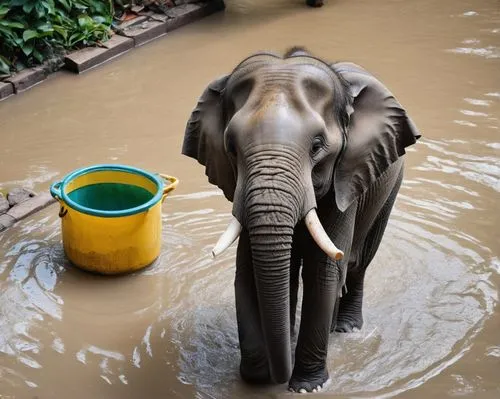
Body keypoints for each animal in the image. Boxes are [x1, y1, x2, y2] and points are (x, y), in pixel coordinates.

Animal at [181, 47, 422, 394]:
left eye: (317, 146)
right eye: (231, 148)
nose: (278, 378)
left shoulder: (344, 177)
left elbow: (323, 271)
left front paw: (307, 387)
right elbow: (249, 272)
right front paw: (256, 377)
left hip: (390, 180)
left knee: (358, 263)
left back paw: (345, 327)